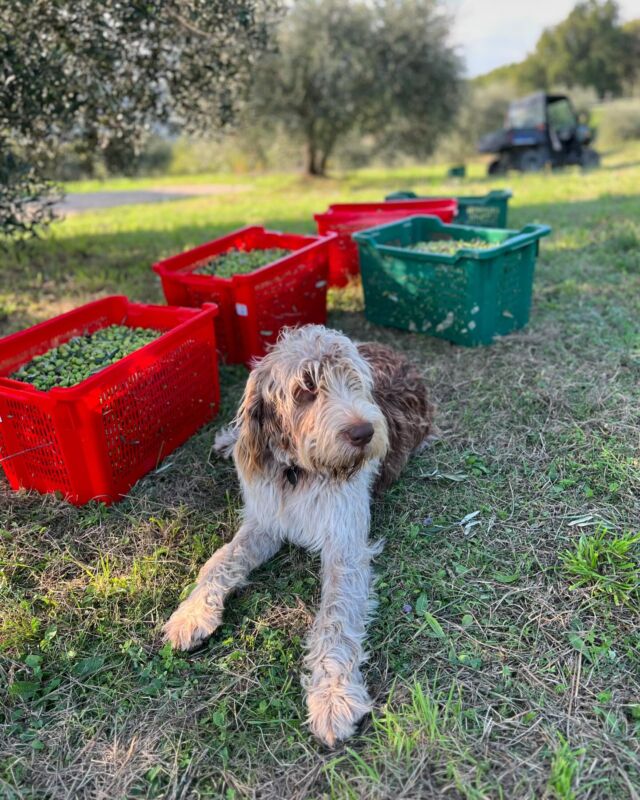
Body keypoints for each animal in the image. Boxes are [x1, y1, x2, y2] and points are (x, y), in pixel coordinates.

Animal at [164, 326, 436, 752]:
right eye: (305, 389)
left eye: (355, 382)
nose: (365, 433)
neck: (298, 472)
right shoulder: (263, 523)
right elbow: (219, 562)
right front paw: (192, 613)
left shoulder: (344, 548)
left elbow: (335, 620)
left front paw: (332, 697)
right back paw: (228, 440)